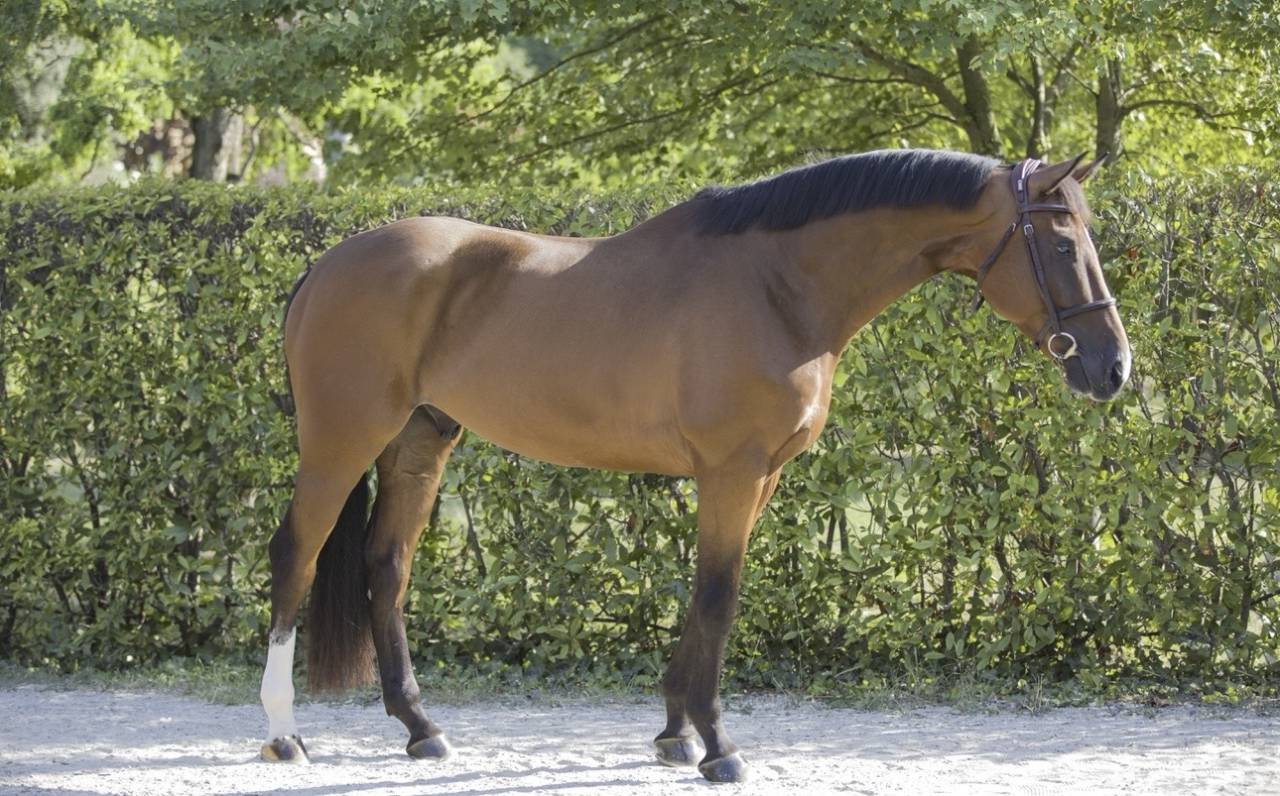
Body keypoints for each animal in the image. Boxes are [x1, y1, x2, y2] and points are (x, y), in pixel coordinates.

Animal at [256, 149, 1130, 783]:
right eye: (1061, 244)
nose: (1112, 367)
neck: (778, 286)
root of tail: (327, 264)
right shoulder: (732, 472)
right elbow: (719, 594)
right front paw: (718, 745)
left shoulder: (762, 475)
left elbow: (708, 596)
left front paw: (674, 731)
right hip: (341, 442)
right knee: (296, 556)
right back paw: (284, 733)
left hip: (420, 442)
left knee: (388, 565)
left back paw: (421, 728)